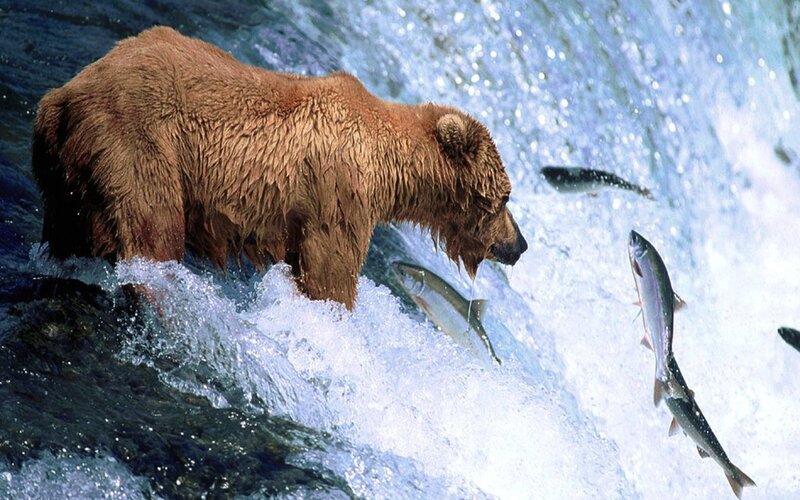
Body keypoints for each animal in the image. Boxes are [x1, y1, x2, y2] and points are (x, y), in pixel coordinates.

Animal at [32, 26, 527, 310]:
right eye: (504, 197)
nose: (518, 245)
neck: (389, 169)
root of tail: (61, 96)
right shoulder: (338, 195)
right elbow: (330, 277)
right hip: (138, 144)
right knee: (154, 233)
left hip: (68, 176)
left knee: (70, 231)